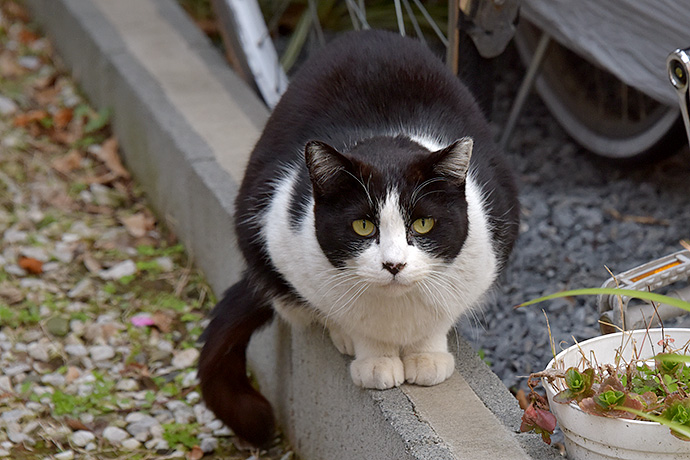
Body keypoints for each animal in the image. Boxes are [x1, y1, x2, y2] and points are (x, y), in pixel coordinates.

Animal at [198, 28, 516, 446]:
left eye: (423, 224)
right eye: (363, 226)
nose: (394, 264)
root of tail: (366, 33)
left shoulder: (485, 254)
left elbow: (439, 318)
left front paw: (427, 356)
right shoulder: (281, 235)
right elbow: (350, 320)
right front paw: (374, 359)